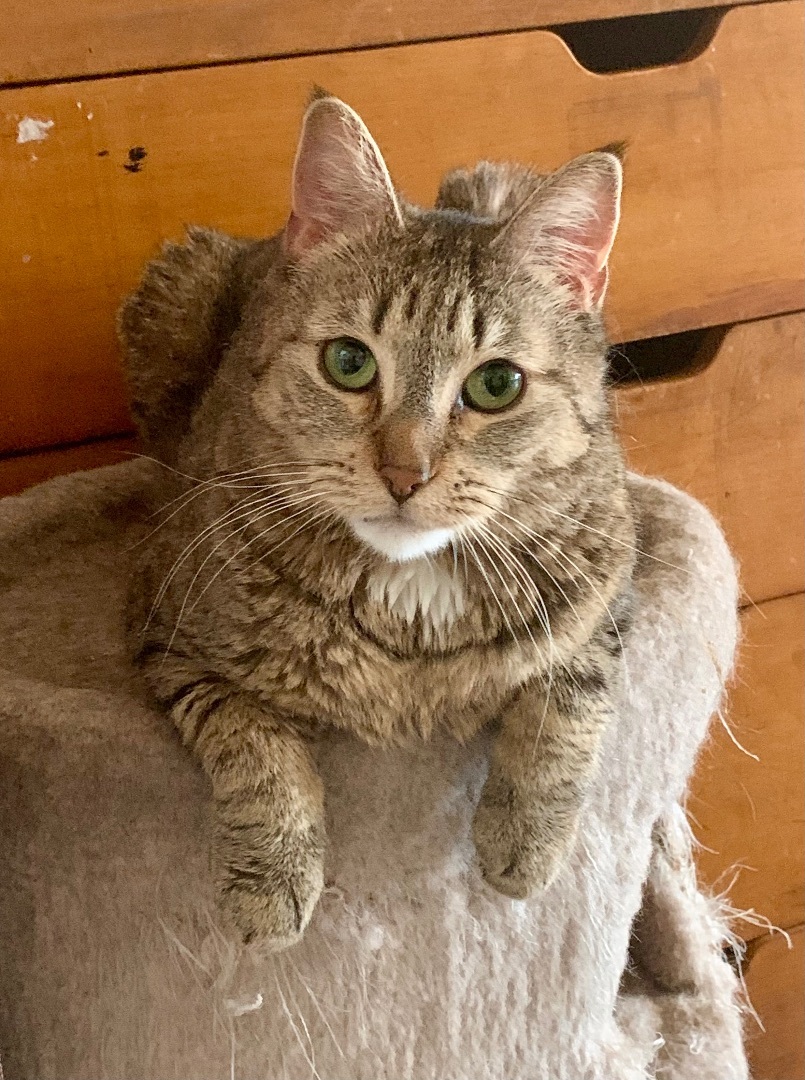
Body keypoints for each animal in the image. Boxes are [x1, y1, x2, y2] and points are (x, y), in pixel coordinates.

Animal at [119, 90, 635, 946]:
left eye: (496, 384)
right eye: (349, 362)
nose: (404, 472)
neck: (411, 587)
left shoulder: (613, 587)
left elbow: (567, 702)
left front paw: (524, 839)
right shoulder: (165, 625)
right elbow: (252, 741)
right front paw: (272, 878)